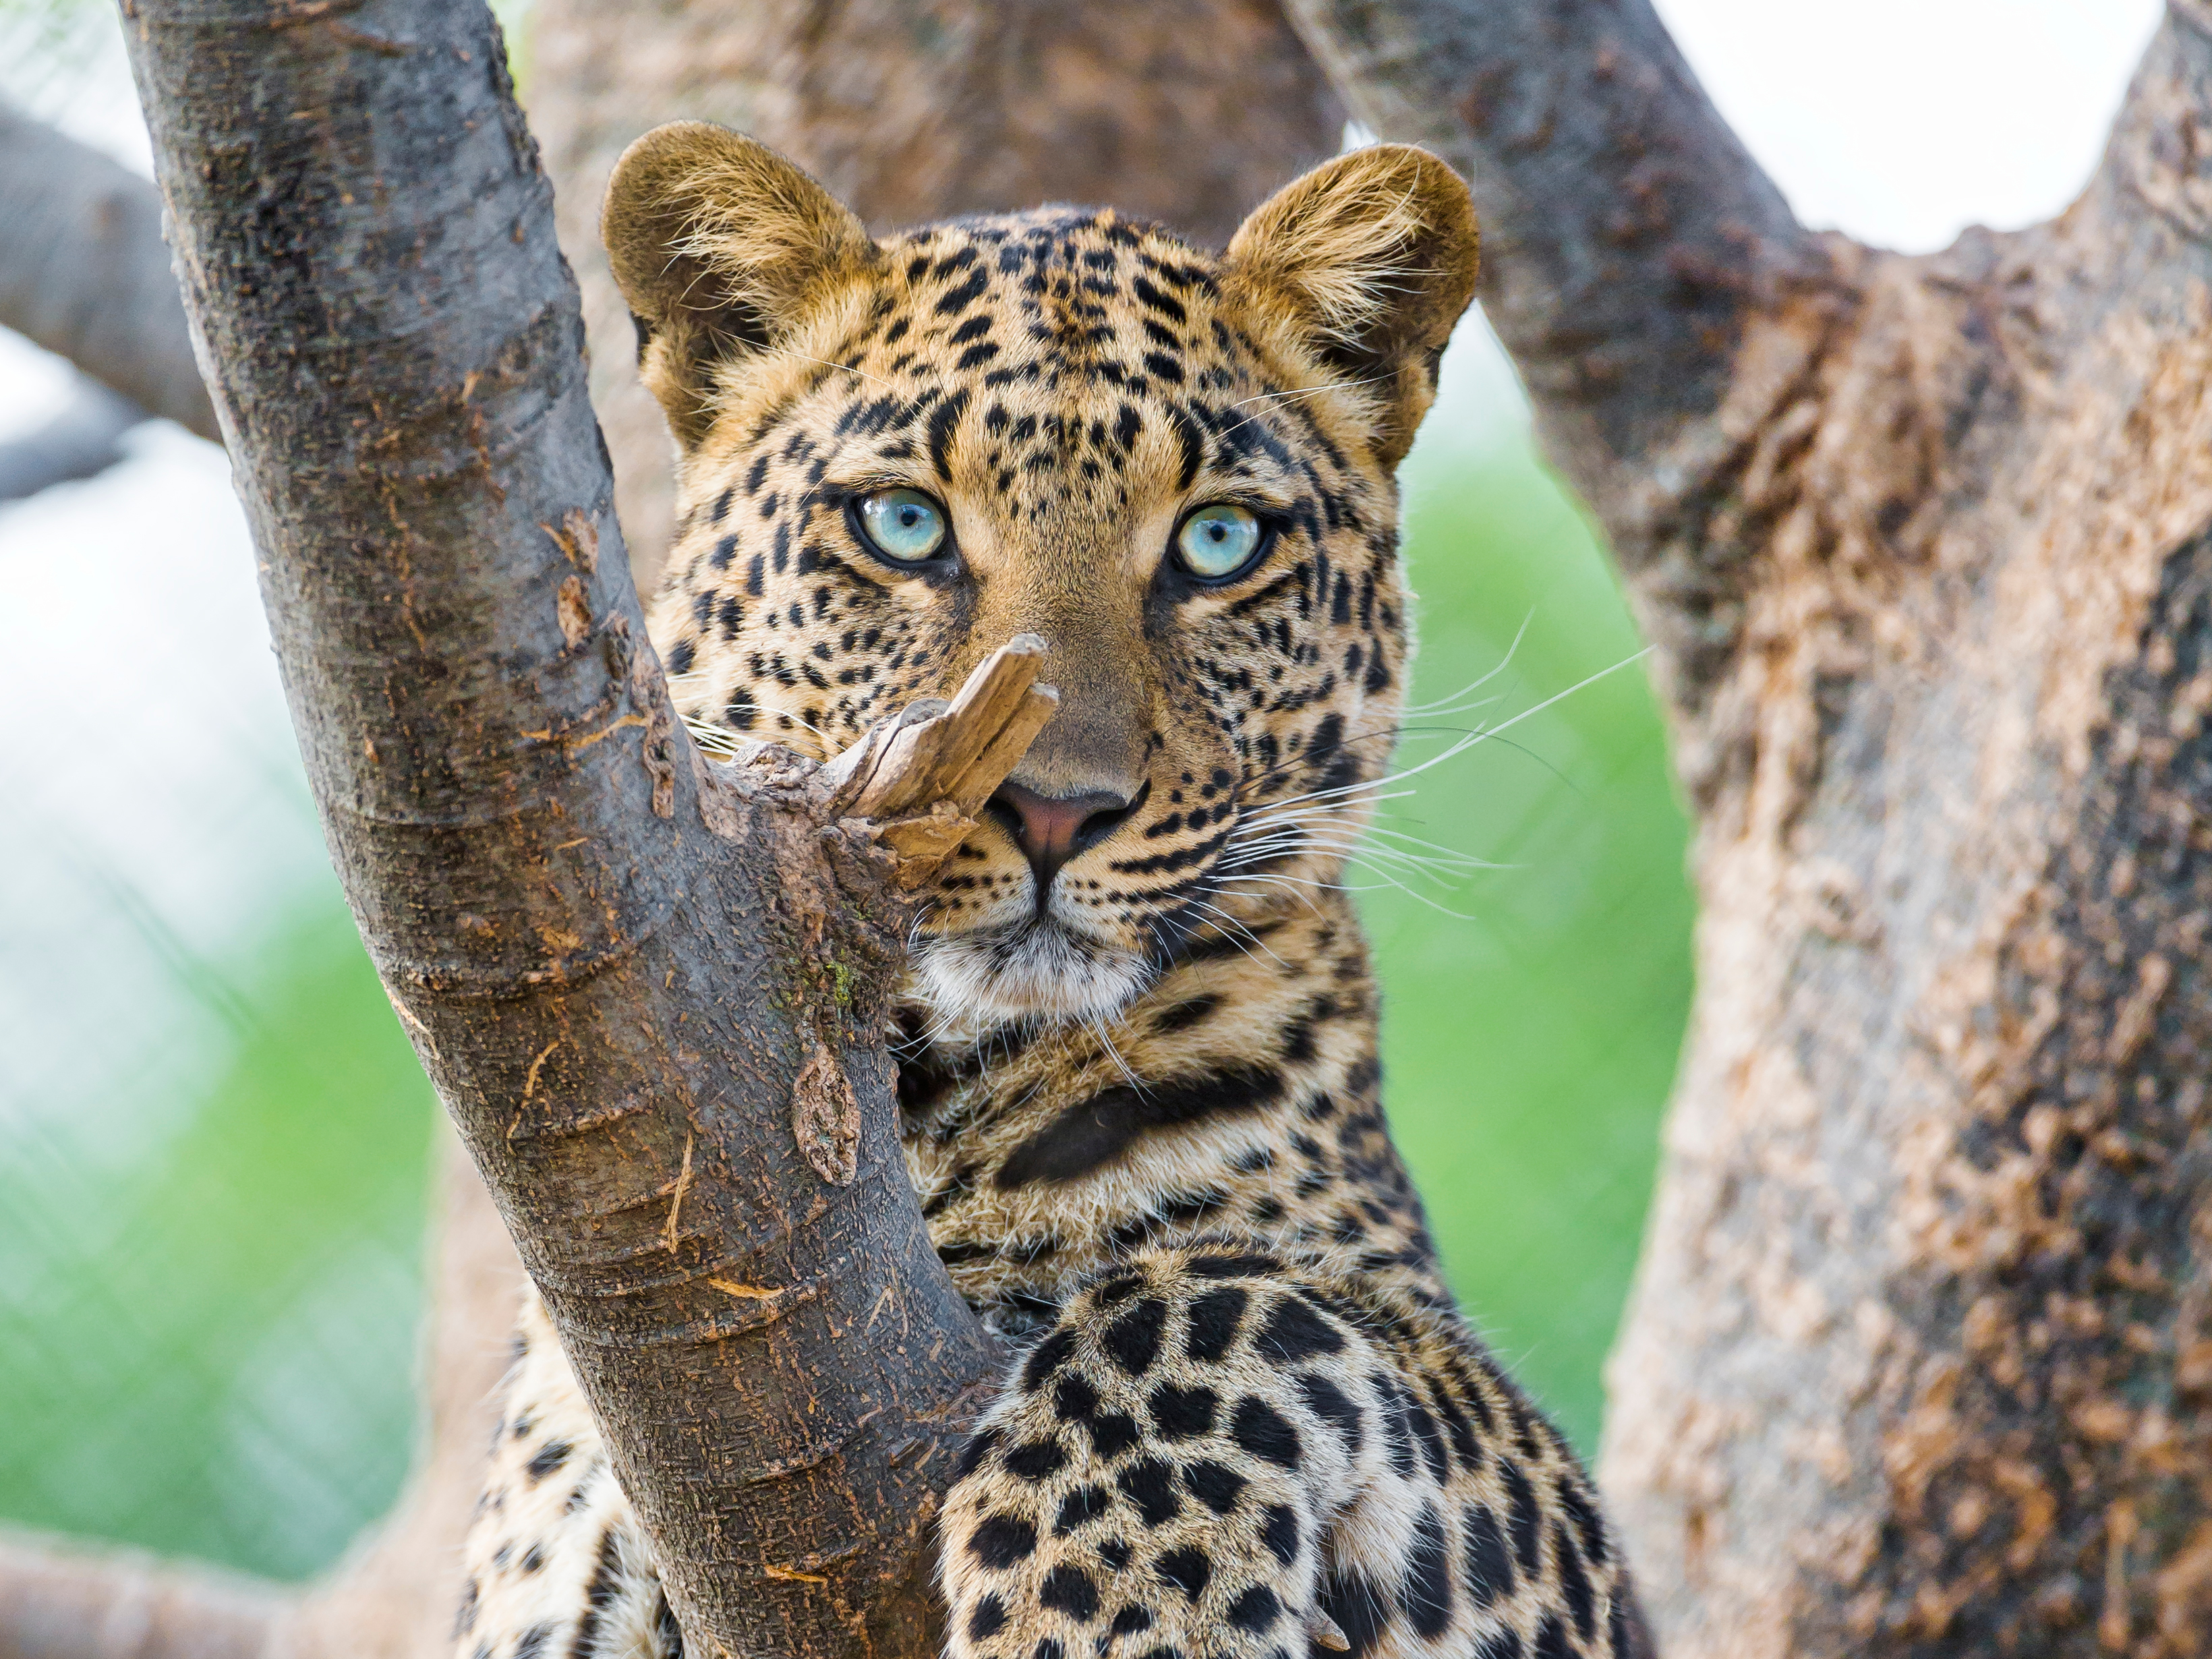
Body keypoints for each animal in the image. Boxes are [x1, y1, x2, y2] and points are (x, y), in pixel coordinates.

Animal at [448, 119, 1654, 1659]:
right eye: (904, 524)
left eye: (1217, 543)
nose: (1052, 808)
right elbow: (556, 1529)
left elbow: (1225, 1300)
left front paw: (1106, 1611)